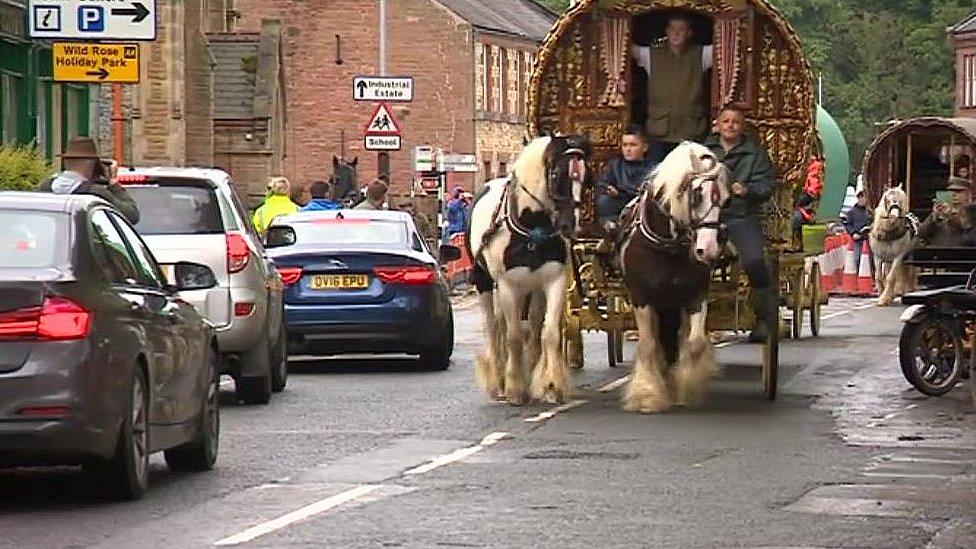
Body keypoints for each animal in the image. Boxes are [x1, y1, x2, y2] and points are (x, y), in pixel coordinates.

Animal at [468, 135, 592, 404]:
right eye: (556, 174)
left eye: (586, 176)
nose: (570, 226)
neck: (533, 228)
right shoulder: (507, 285)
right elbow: (513, 335)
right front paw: (515, 388)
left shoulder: (554, 280)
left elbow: (549, 333)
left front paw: (552, 385)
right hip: (485, 281)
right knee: (494, 327)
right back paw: (499, 380)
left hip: (532, 288)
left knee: (533, 329)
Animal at [620, 140, 728, 412]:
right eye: (697, 195)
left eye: (726, 199)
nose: (708, 250)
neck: (668, 247)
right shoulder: (641, 297)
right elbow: (648, 345)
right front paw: (647, 395)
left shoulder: (695, 295)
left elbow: (694, 342)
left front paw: (686, 387)